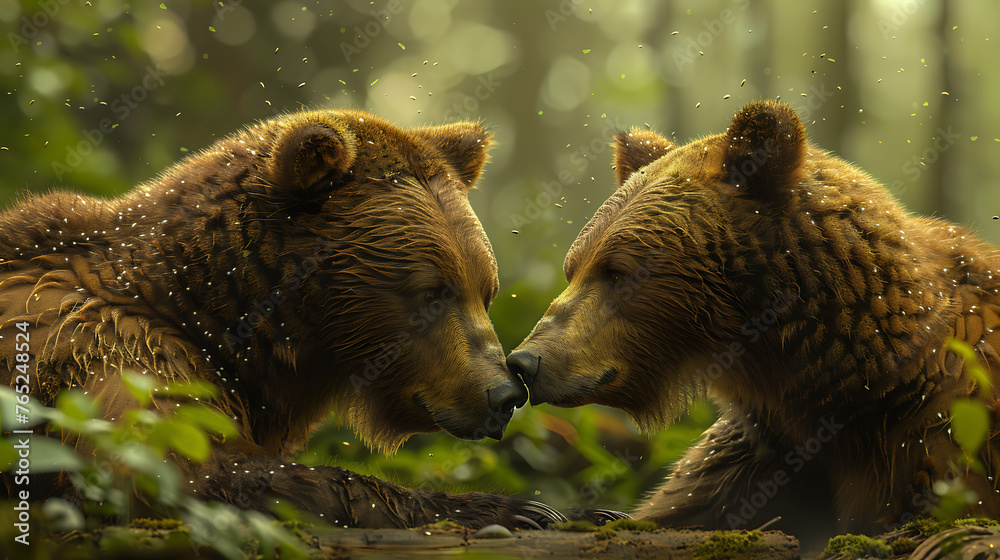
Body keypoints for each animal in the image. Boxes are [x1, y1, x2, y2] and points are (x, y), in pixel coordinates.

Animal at [0, 109, 568, 529]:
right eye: (431, 292)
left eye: (485, 291)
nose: (505, 394)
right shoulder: (107, 349)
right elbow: (180, 472)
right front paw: (518, 508)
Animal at [507, 100, 1000, 543]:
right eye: (573, 268)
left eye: (617, 272)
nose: (525, 362)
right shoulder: (761, 452)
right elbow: (681, 506)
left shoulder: (942, 437)